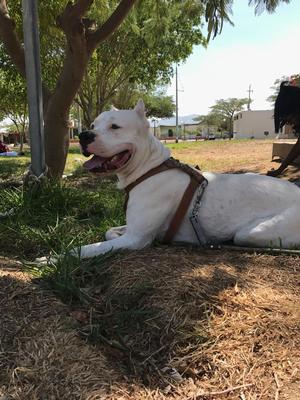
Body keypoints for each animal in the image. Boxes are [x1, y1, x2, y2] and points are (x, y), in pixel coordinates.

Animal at [68, 98, 300, 258]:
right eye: (93, 125)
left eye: (115, 127)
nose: (83, 135)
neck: (150, 168)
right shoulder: (133, 230)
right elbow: (109, 231)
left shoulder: (136, 238)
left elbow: (80, 251)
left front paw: (58, 258)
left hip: (252, 233)